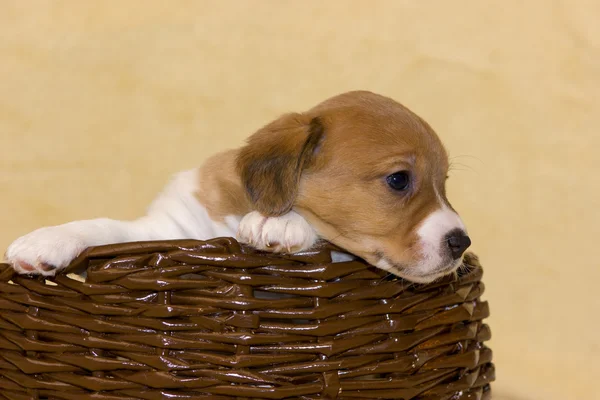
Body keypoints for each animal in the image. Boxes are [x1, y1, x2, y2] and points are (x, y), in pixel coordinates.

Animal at [5, 90, 474, 284]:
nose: (461, 242)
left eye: (444, 183)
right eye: (399, 180)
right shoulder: (165, 231)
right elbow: (104, 227)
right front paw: (46, 241)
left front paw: (280, 224)